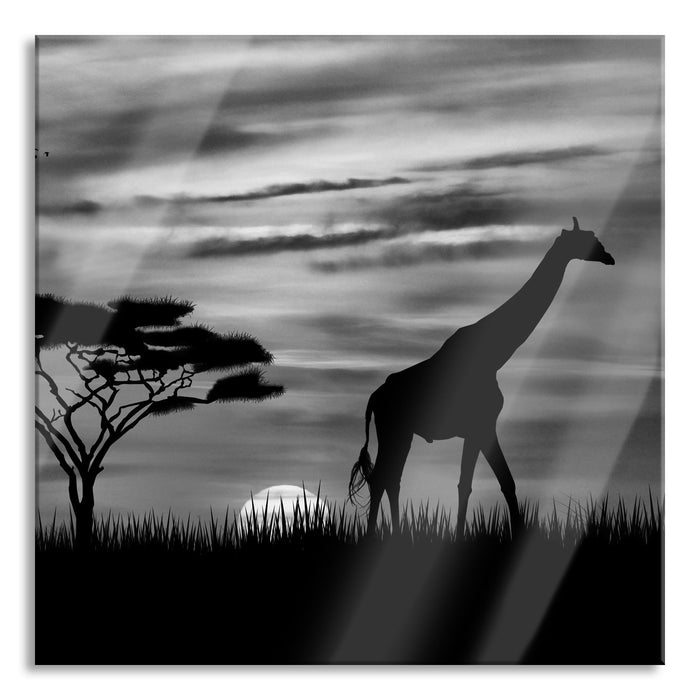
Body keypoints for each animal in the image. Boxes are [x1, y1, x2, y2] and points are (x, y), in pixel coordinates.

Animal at [348, 218, 615, 536]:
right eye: (589, 239)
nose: (609, 257)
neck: (495, 356)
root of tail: (374, 398)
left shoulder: (481, 428)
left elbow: (491, 484)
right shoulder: (482, 426)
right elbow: (486, 484)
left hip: (403, 433)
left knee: (391, 479)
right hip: (394, 430)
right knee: (382, 479)